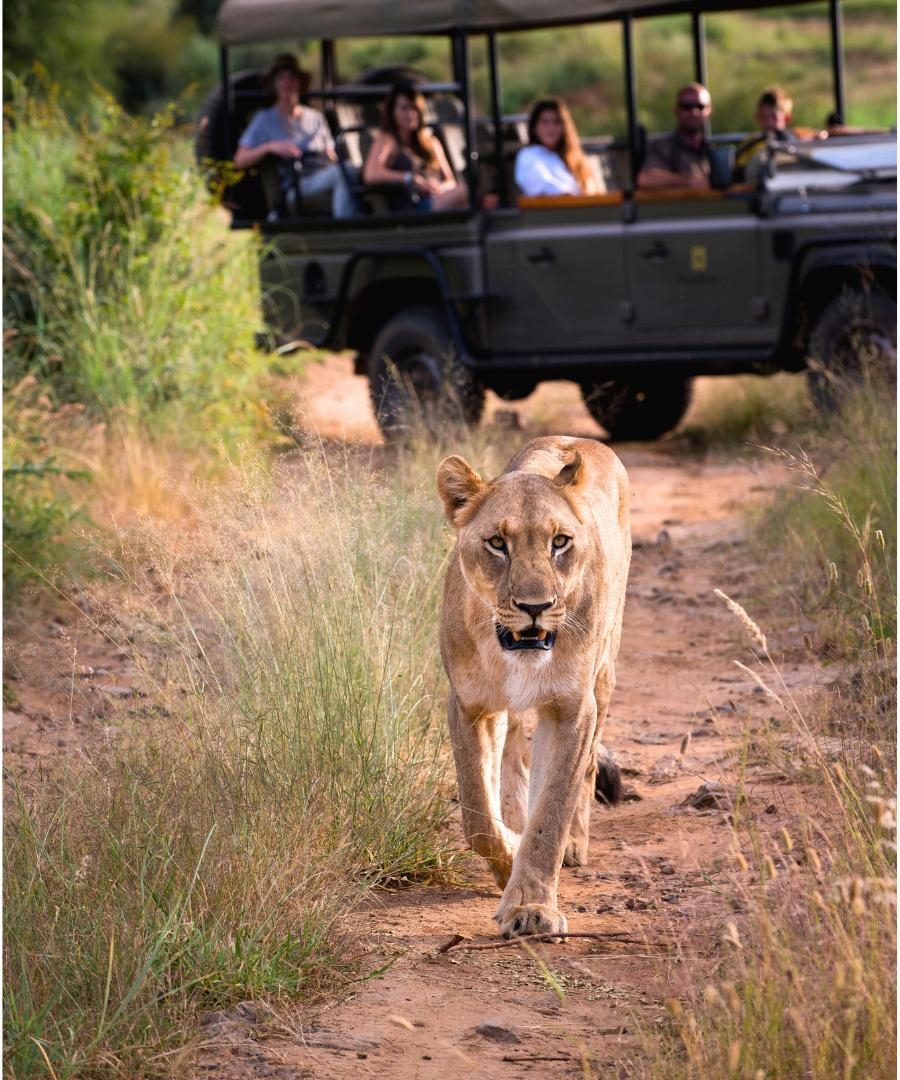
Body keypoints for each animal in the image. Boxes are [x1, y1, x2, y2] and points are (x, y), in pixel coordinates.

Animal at [436, 436, 631, 938]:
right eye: (497, 543)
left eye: (559, 542)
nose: (535, 607)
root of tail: (577, 438)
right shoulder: (470, 705)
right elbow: (477, 814)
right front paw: (507, 859)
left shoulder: (572, 708)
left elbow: (552, 812)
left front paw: (531, 907)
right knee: (514, 759)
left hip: (605, 672)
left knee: (585, 771)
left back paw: (575, 845)